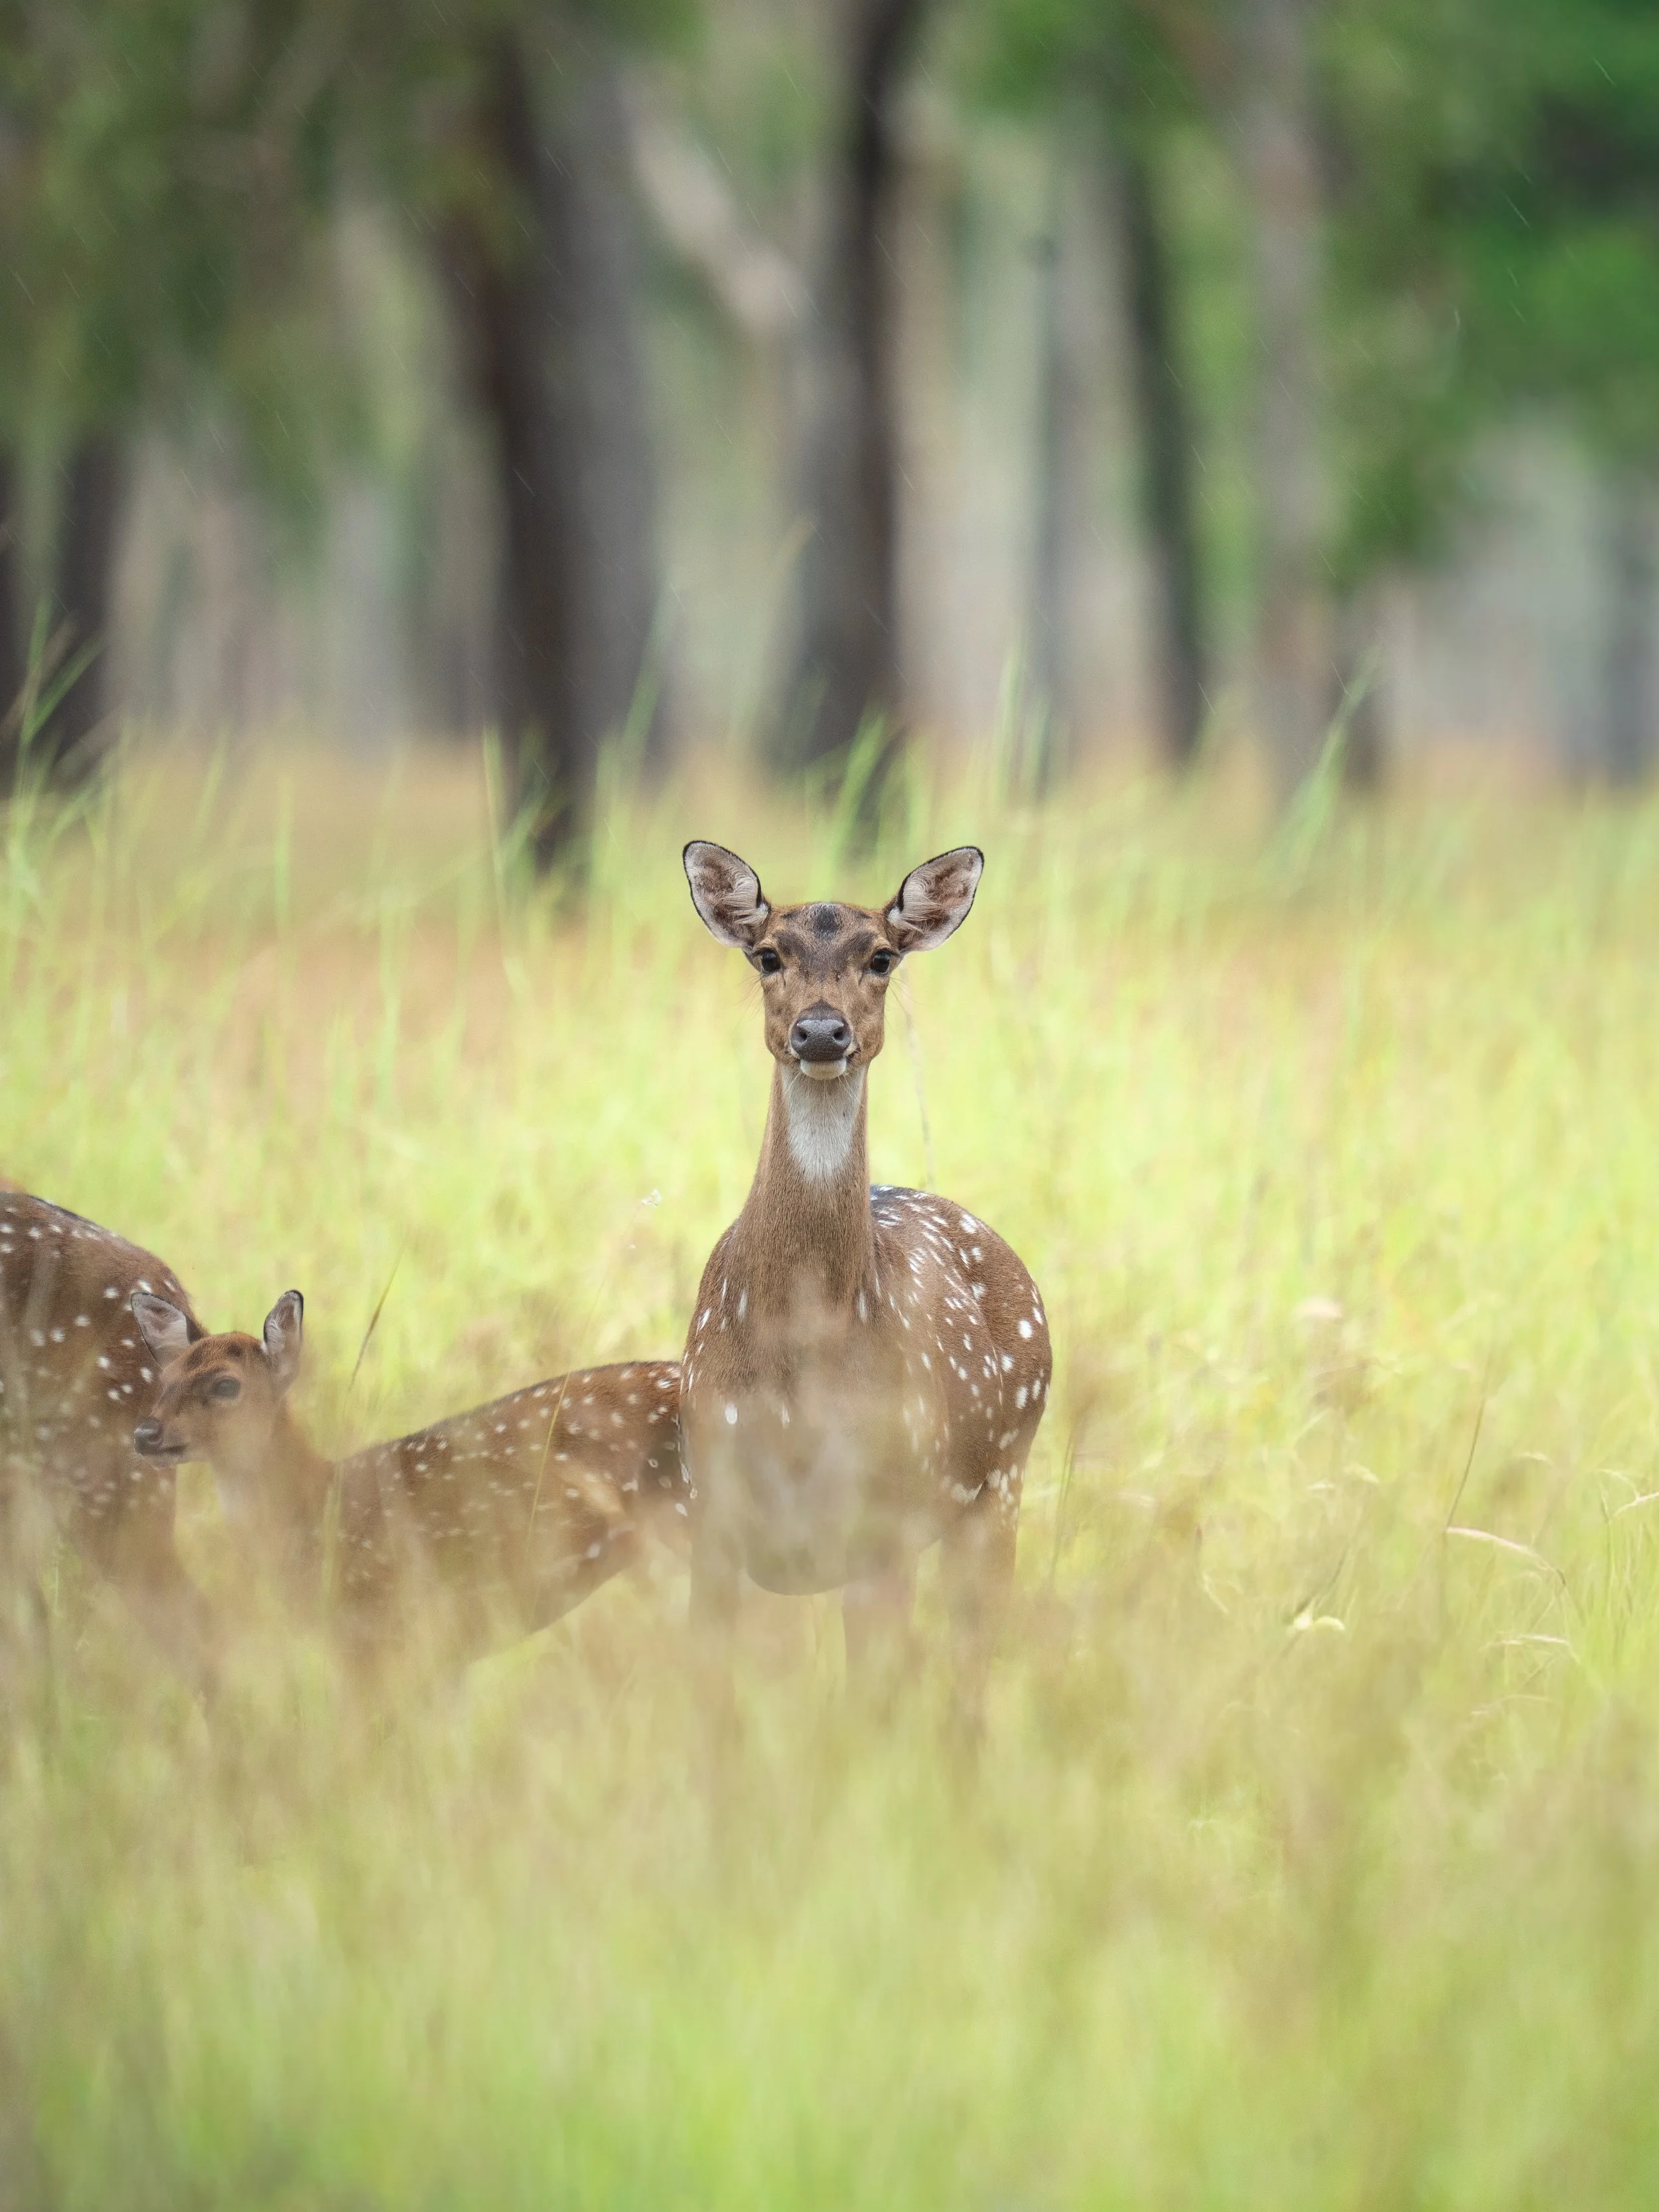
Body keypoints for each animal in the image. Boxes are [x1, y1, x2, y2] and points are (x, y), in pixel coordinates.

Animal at [679, 841, 1052, 1736]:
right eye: (766, 954)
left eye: (881, 957)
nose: (821, 1030)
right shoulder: (712, 1508)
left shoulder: (882, 1514)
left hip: (1002, 1484)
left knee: (969, 1674)